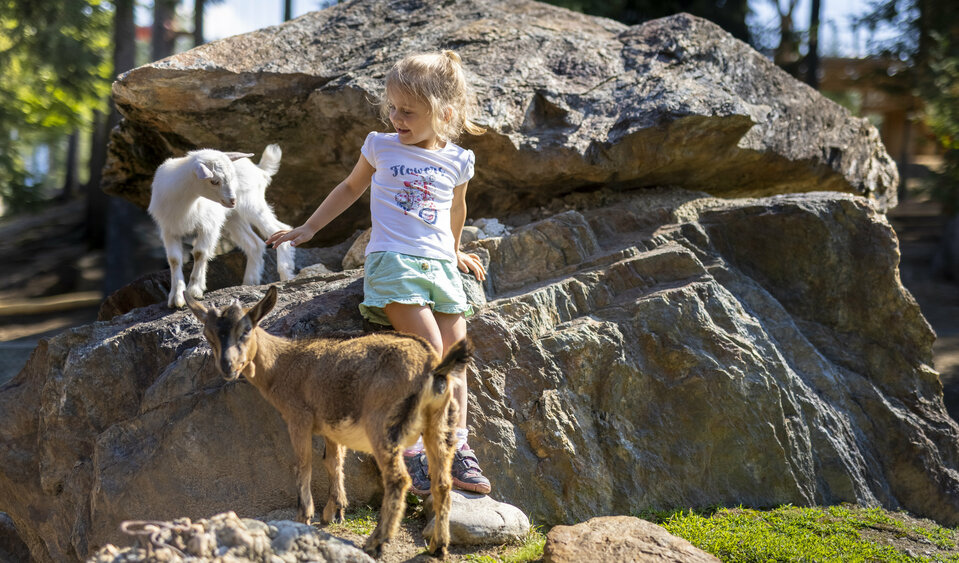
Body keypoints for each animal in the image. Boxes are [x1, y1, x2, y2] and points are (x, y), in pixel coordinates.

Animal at [148, 144, 295, 308]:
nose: (232, 200)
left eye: (232, 178)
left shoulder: (209, 224)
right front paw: (177, 297)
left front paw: (194, 290)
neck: (187, 201)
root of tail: (259, 169)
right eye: (213, 181)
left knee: (279, 229)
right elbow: (174, 260)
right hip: (234, 217)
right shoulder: (168, 229)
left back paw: (286, 274)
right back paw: (249, 282)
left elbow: (199, 253)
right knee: (254, 244)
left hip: (252, 203)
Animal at [185, 286, 465, 558]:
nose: (227, 367)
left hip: (383, 425)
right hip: (439, 423)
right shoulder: (332, 427)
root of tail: (433, 367)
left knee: (398, 480)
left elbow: (303, 464)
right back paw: (438, 546)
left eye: (245, 331)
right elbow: (332, 462)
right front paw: (335, 512)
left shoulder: (298, 417)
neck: (281, 365)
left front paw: (304, 517)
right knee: (442, 482)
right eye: (209, 336)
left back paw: (376, 543)